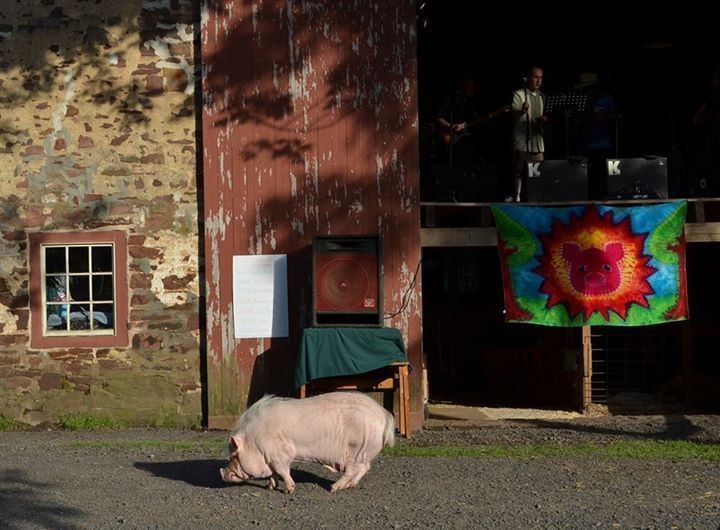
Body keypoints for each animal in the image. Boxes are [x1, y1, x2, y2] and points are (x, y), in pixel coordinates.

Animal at [221, 388, 396, 490]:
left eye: (234, 455)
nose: (222, 473)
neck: (255, 441)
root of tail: (384, 414)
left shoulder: (280, 455)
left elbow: (282, 471)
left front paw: (289, 490)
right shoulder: (270, 458)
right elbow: (273, 473)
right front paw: (270, 487)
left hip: (356, 449)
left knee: (353, 470)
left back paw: (334, 488)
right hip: (363, 452)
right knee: (365, 467)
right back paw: (350, 486)